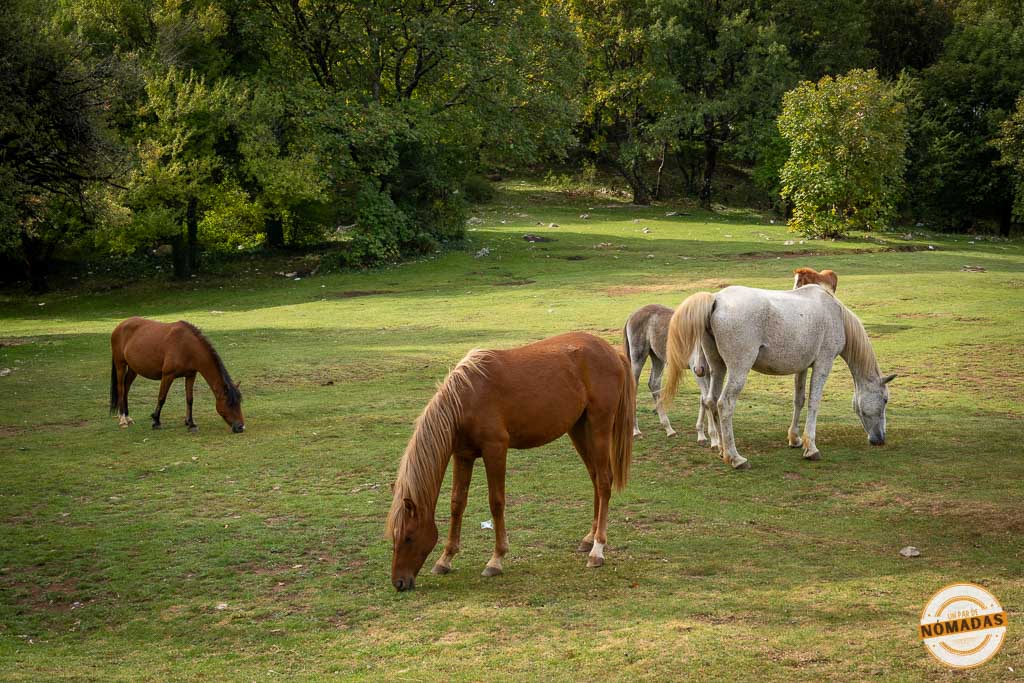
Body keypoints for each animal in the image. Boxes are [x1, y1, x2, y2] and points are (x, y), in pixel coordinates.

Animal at [110, 317, 245, 433]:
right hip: (120, 365)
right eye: (229, 404)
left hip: (133, 369)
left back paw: (128, 417)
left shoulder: (191, 375)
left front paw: (191, 423)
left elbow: (190, 399)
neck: (187, 346)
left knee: (126, 388)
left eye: (239, 402)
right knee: (121, 388)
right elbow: (161, 398)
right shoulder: (167, 376)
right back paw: (122, 419)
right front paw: (156, 421)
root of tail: (120, 325)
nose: (241, 427)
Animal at [386, 332, 635, 591]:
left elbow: (496, 503)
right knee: (595, 479)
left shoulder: (495, 450)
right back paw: (588, 538)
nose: (399, 582)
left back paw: (597, 549)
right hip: (578, 429)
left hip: (599, 426)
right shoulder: (463, 455)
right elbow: (457, 503)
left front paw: (496, 559)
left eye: (408, 537)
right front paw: (445, 559)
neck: (467, 397)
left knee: (604, 482)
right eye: (393, 536)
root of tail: (612, 352)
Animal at [623, 304, 718, 447]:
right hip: (638, 357)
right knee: (635, 386)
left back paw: (669, 429)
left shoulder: (709, 374)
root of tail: (632, 315)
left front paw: (701, 435)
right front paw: (714, 440)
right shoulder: (700, 375)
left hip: (657, 357)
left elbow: (704, 400)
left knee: (654, 384)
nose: (698, 368)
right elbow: (707, 400)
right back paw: (636, 431)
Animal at [662, 286, 895, 469]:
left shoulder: (802, 367)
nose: (880, 439)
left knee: (710, 401)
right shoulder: (823, 363)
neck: (834, 312)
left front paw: (795, 439)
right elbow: (814, 402)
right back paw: (736, 458)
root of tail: (716, 299)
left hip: (717, 367)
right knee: (724, 404)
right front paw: (811, 448)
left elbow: (799, 400)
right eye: (885, 400)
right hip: (738, 369)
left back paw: (722, 449)